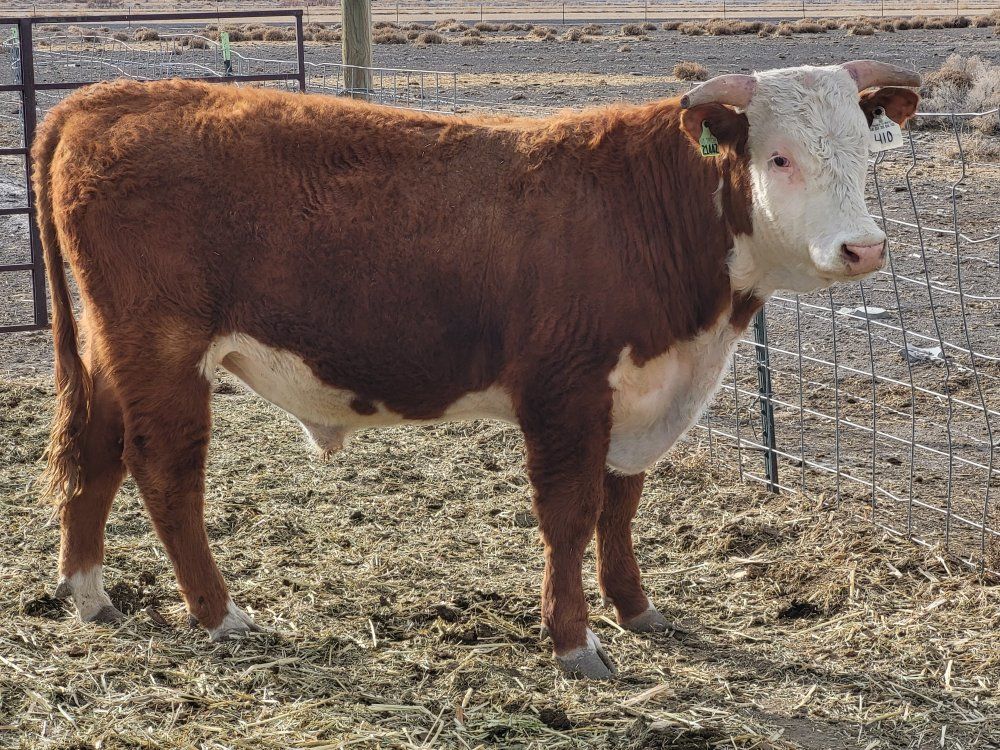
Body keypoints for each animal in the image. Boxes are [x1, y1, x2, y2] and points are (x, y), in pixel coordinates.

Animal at [35, 61, 919, 678]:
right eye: (780, 159)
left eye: (866, 155)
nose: (864, 248)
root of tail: (109, 98)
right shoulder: (565, 393)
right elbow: (570, 515)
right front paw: (574, 642)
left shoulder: (638, 397)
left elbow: (621, 507)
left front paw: (636, 607)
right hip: (164, 350)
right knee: (165, 471)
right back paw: (219, 614)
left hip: (115, 351)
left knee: (97, 453)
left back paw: (90, 594)